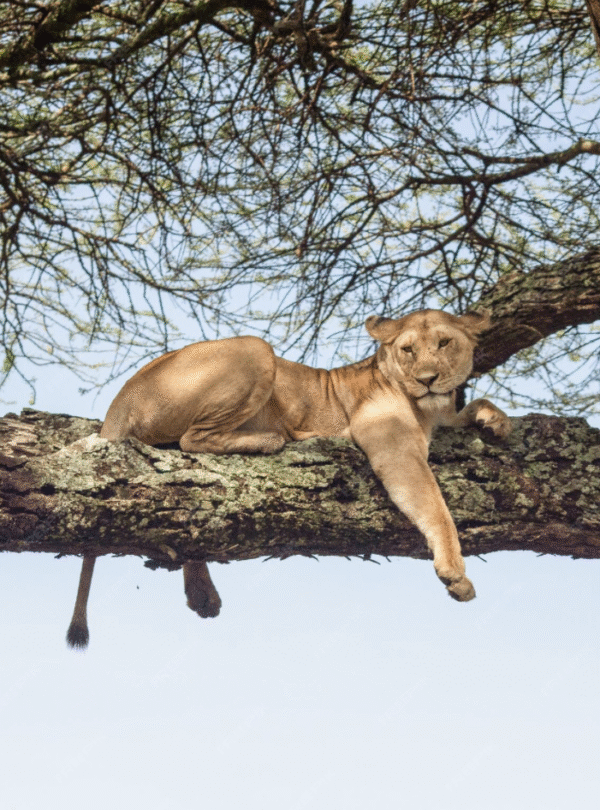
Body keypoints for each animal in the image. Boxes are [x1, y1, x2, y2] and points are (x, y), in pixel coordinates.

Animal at [67, 308, 510, 648]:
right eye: (408, 350)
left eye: (444, 344)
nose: (427, 378)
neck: (427, 408)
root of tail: (120, 399)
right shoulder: (394, 449)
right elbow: (436, 508)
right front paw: (455, 572)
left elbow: (475, 404)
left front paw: (495, 419)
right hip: (255, 349)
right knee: (195, 440)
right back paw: (274, 438)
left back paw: (203, 595)